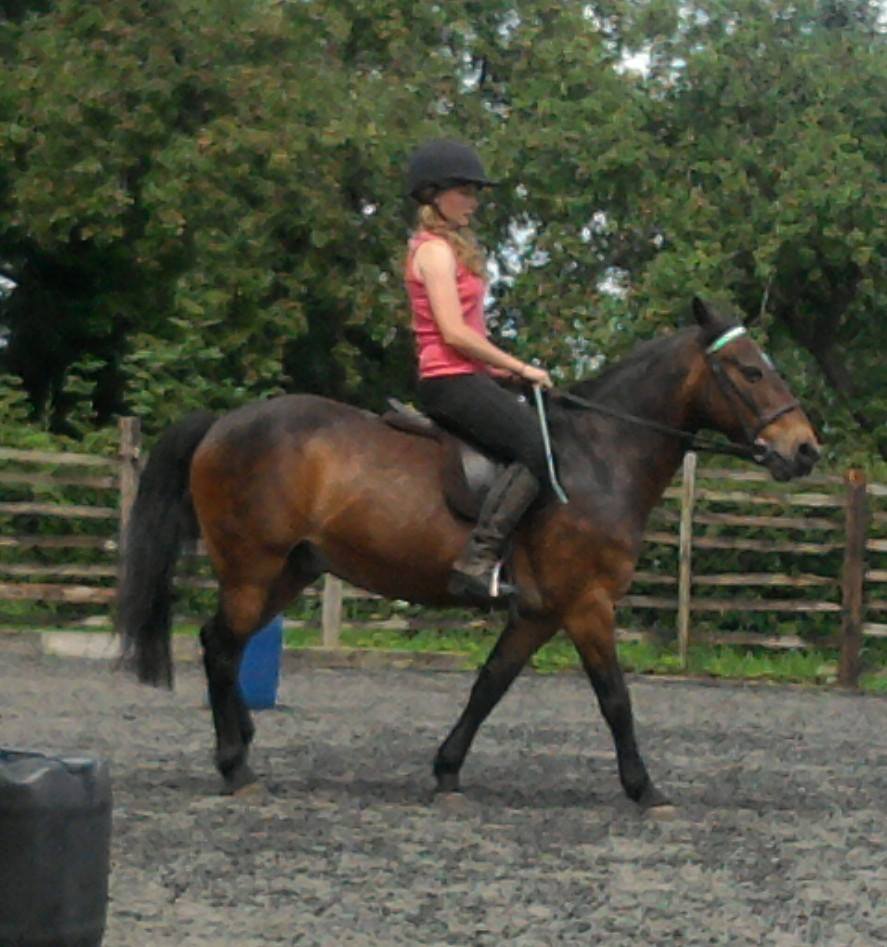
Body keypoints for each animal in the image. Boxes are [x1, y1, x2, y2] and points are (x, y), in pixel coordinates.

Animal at [119, 297, 820, 808]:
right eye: (752, 371)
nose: (805, 449)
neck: (602, 456)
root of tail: (221, 423)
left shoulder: (538, 611)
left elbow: (489, 685)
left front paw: (447, 771)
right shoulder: (586, 604)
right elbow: (614, 697)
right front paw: (646, 789)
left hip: (289, 570)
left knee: (227, 646)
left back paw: (243, 742)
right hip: (253, 566)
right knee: (220, 646)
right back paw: (235, 768)